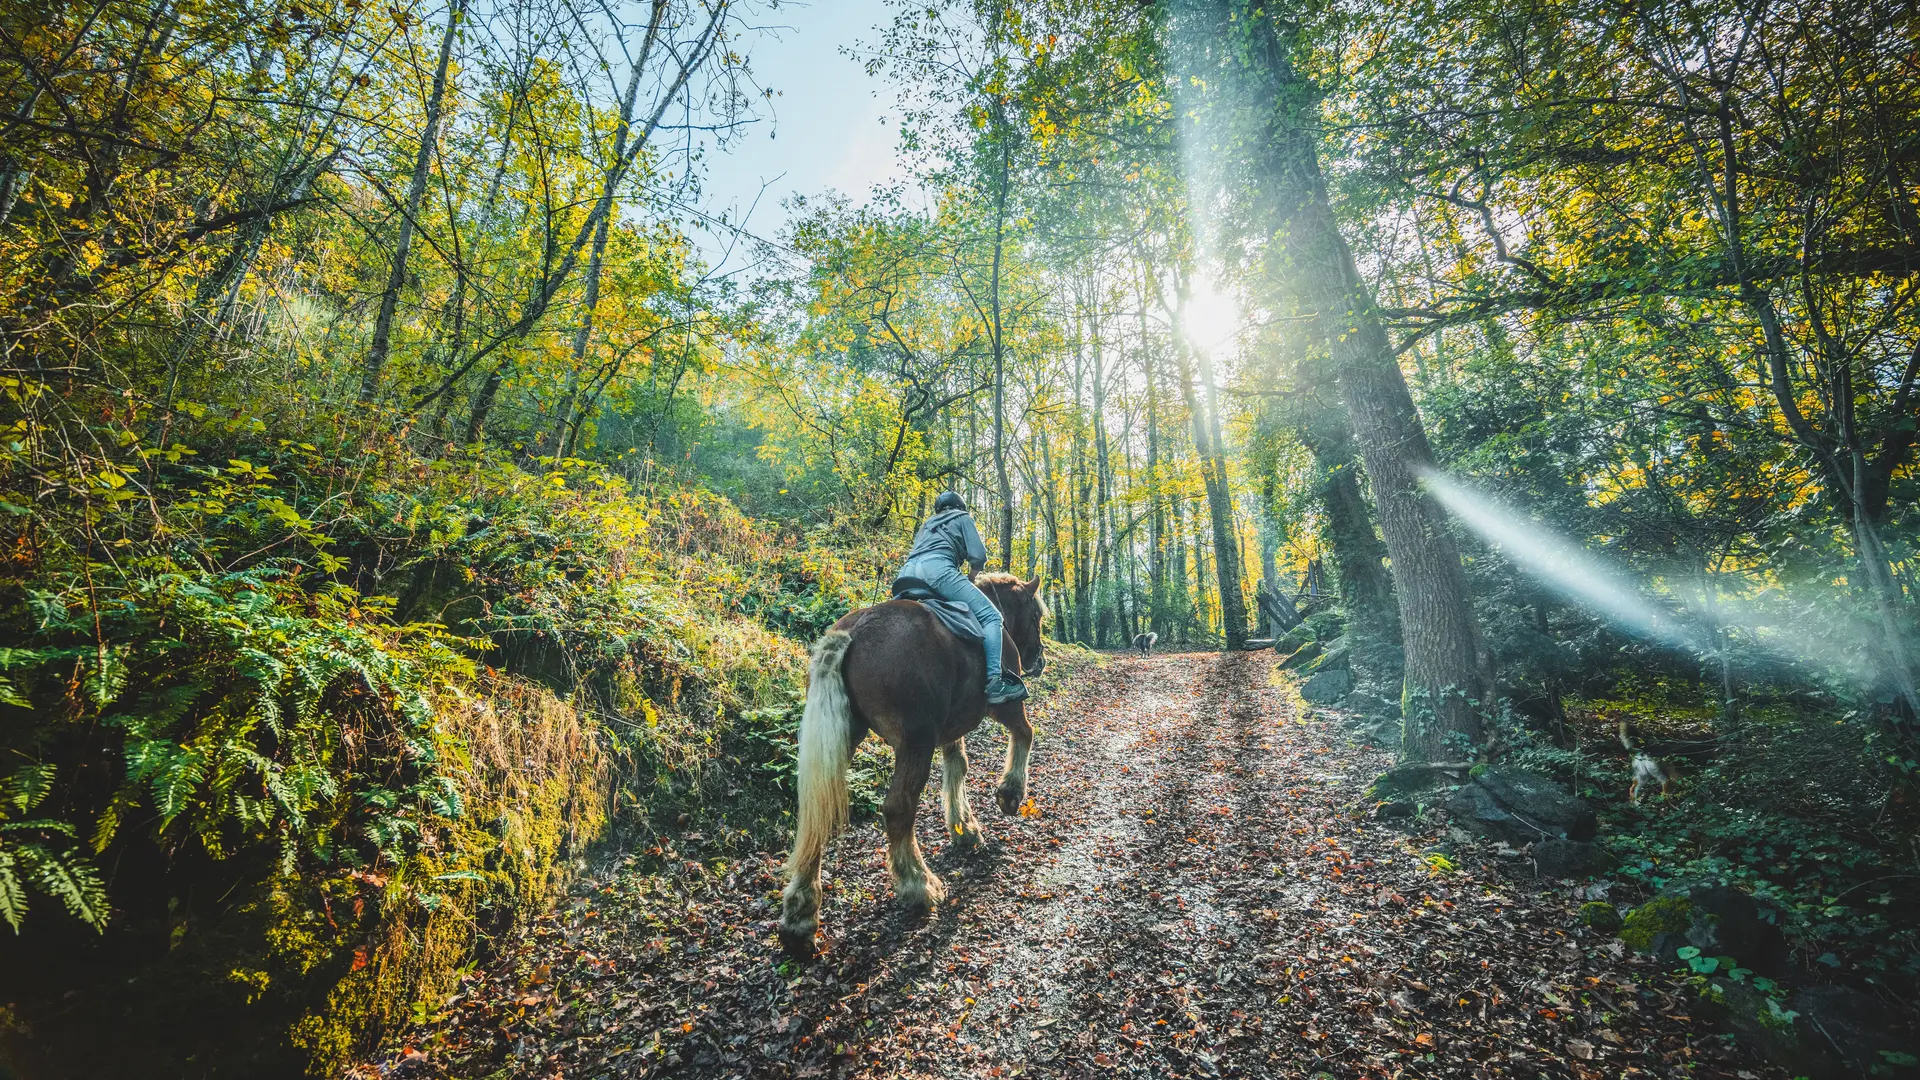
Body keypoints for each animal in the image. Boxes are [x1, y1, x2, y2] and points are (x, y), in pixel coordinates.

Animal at [775, 572, 1052, 949]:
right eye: (1036, 616)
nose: (1039, 660)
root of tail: (853, 631)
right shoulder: (1005, 707)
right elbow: (1025, 732)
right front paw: (1009, 794)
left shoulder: (950, 729)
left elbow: (957, 766)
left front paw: (964, 828)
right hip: (915, 743)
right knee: (898, 809)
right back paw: (918, 885)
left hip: (844, 735)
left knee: (816, 809)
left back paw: (799, 915)